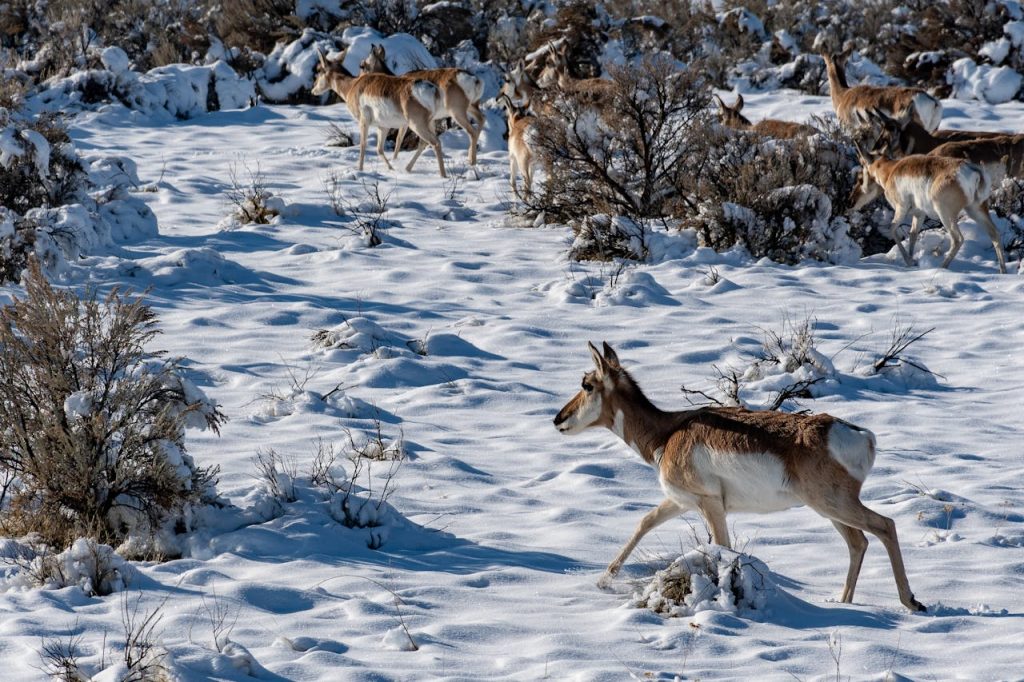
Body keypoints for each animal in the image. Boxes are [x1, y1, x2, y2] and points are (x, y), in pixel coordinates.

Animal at [312, 50, 447, 177]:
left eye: (319, 70)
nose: (313, 90)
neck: (352, 85)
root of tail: (432, 88)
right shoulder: (383, 127)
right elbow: (379, 149)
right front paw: (391, 169)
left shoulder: (364, 122)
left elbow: (363, 145)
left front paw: (360, 170)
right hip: (428, 124)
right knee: (424, 143)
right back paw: (407, 169)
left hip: (416, 125)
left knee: (435, 143)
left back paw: (442, 176)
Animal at [554, 342, 926, 612]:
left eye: (587, 385)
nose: (558, 419)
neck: (667, 433)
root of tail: (860, 435)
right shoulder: (680, 502)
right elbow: (644, 523)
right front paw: (603, 580)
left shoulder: (710, 505)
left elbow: (723, 548)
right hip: (830, 509)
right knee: (858, 542)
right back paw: (844, 601)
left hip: (833, 503)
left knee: (885, 526)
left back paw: (911, 601)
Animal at [849, 140, 1006, 273]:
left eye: (860, 177)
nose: (851, 201)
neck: (891, 170)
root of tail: (973, 170)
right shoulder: (919, 214)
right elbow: (913, 234)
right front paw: (911, 262)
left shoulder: (901, 209)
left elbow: (892, 229)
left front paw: (909, 261)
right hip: (975, 210)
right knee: (995, 233)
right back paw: (1002, 271)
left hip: (946, 215)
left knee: (957, 239)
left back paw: (941, 267)